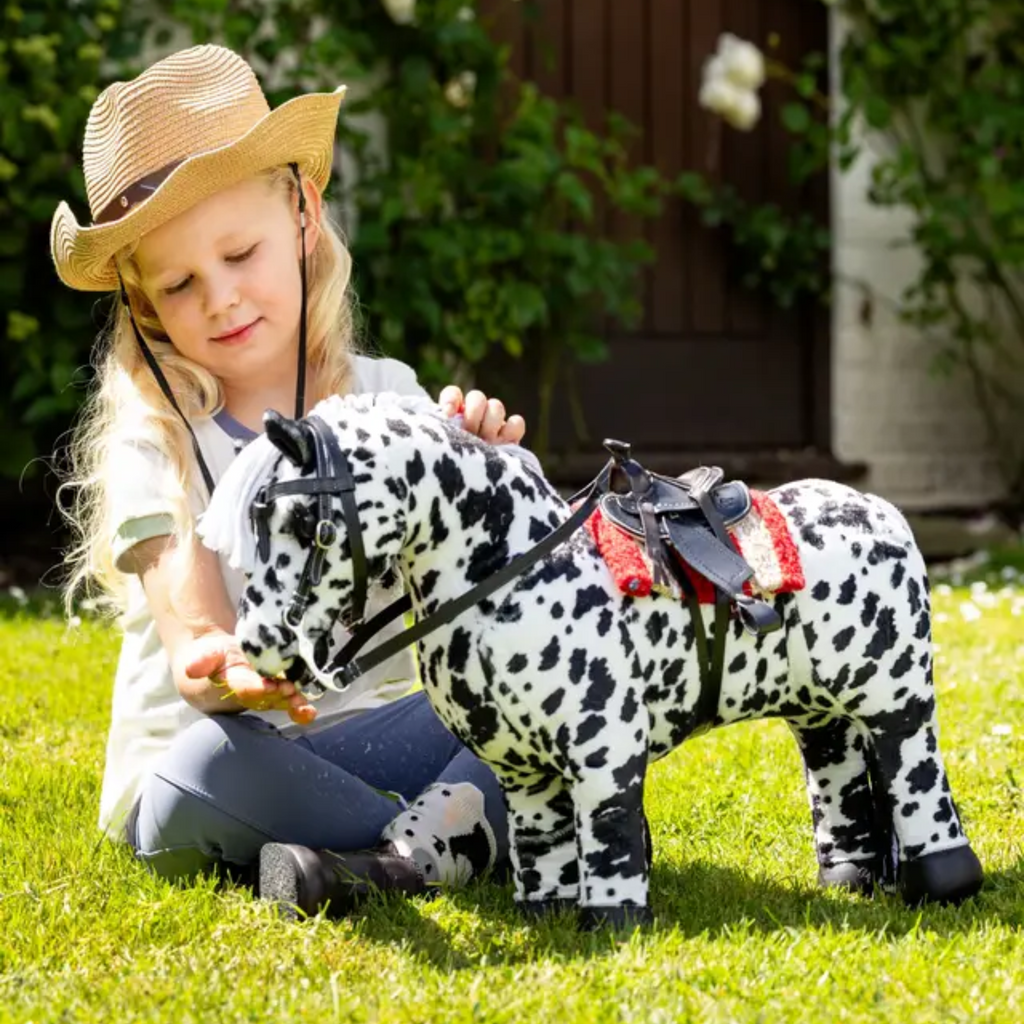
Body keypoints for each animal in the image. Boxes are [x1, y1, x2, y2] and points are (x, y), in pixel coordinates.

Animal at [197, 392, 983, 929]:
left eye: (308, 523)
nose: (259, 646)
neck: (513, 569)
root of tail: (883, 513)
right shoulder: (522, 772)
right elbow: (542, 844)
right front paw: (548, 914)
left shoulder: (604, 758)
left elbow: (605, 833)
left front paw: (611, 923)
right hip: (818, 713)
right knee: (839, 774)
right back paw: (850, 881)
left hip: (898, 705)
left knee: (914, 777)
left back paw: (944, 881)